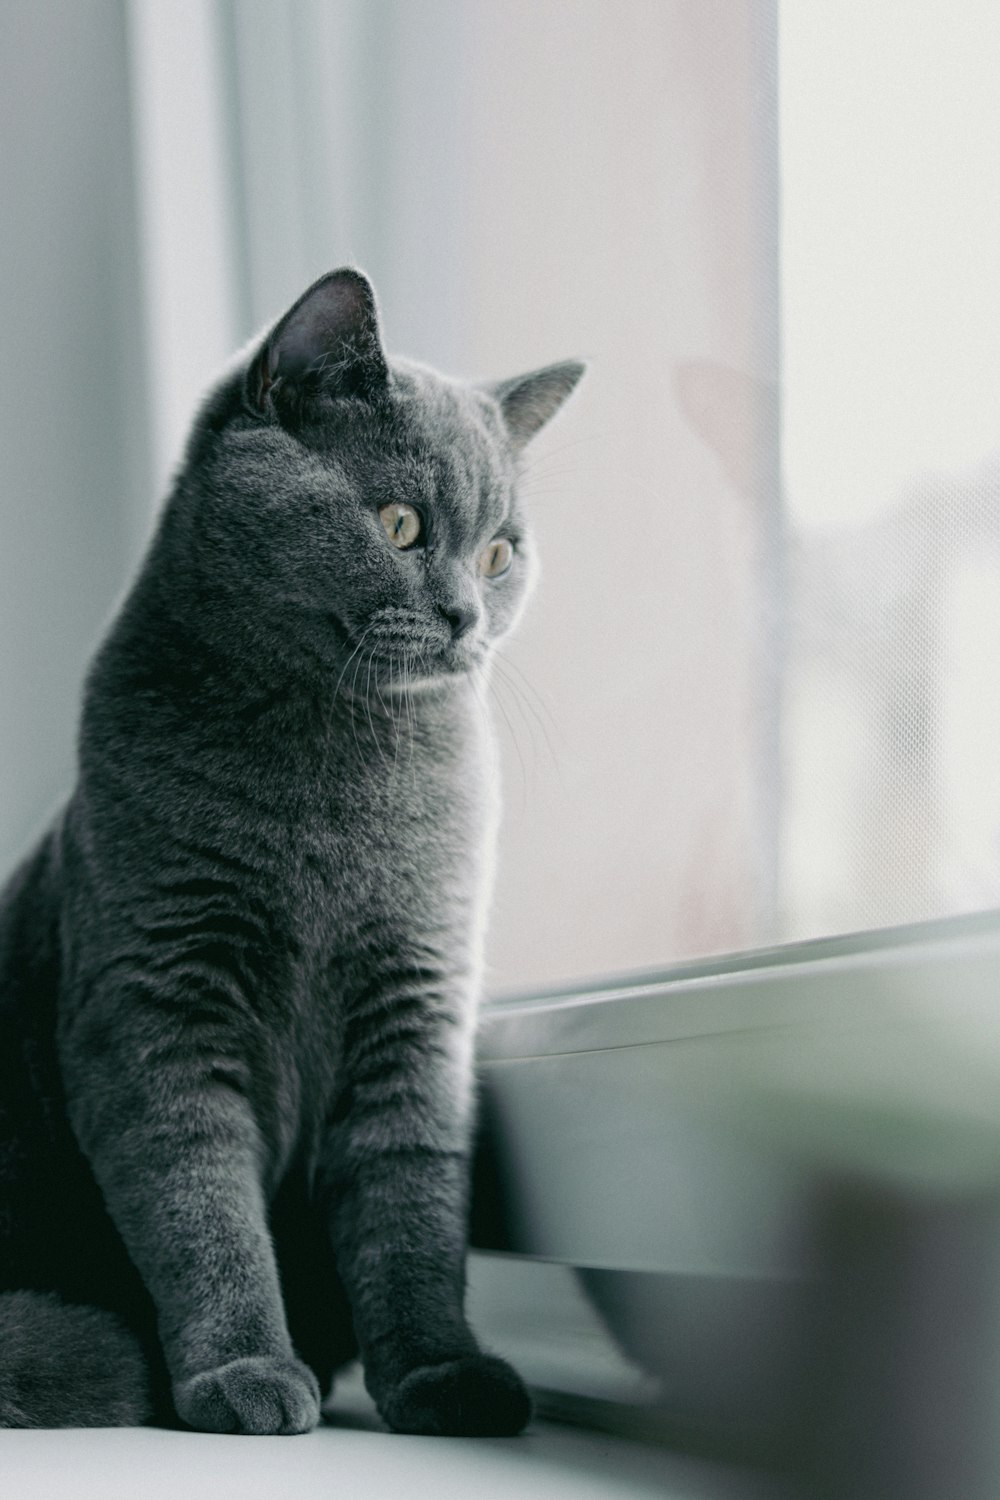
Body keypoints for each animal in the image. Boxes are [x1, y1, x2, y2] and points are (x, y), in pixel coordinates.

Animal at [0, 264, 587, 1434]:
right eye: (400, 524)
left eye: (501, 552)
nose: (467, 614)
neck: (334, 775)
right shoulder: (157, 1003)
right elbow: (200, 1205)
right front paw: (244, 1371)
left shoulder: (416, 1005)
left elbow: (414, 1206)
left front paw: (442, 1374)